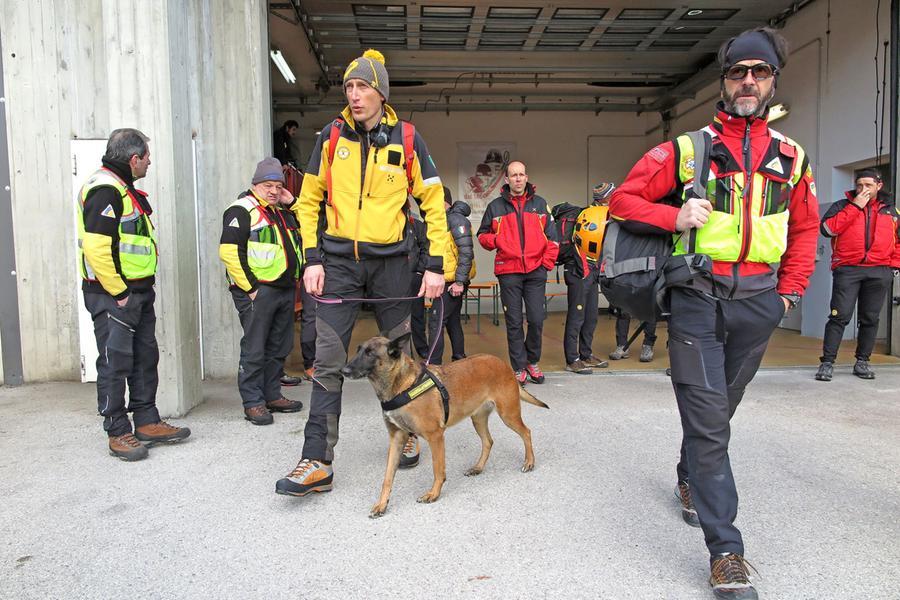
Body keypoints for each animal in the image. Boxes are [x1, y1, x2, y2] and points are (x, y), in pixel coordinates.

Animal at [342, 330, 548, 516]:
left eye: (370, 353)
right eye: (358, 350)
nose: (343, 370)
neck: (401, 386)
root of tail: (502, 362)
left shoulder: (436, 437)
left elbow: (437, 469)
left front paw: (433, 494)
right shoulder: (396, 439)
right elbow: (387, 477)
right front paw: (382, 504)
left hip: (508, 414)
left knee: (526, 432)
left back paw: (529, 462)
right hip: (478, 418)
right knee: (488, 441)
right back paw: (478, 468)